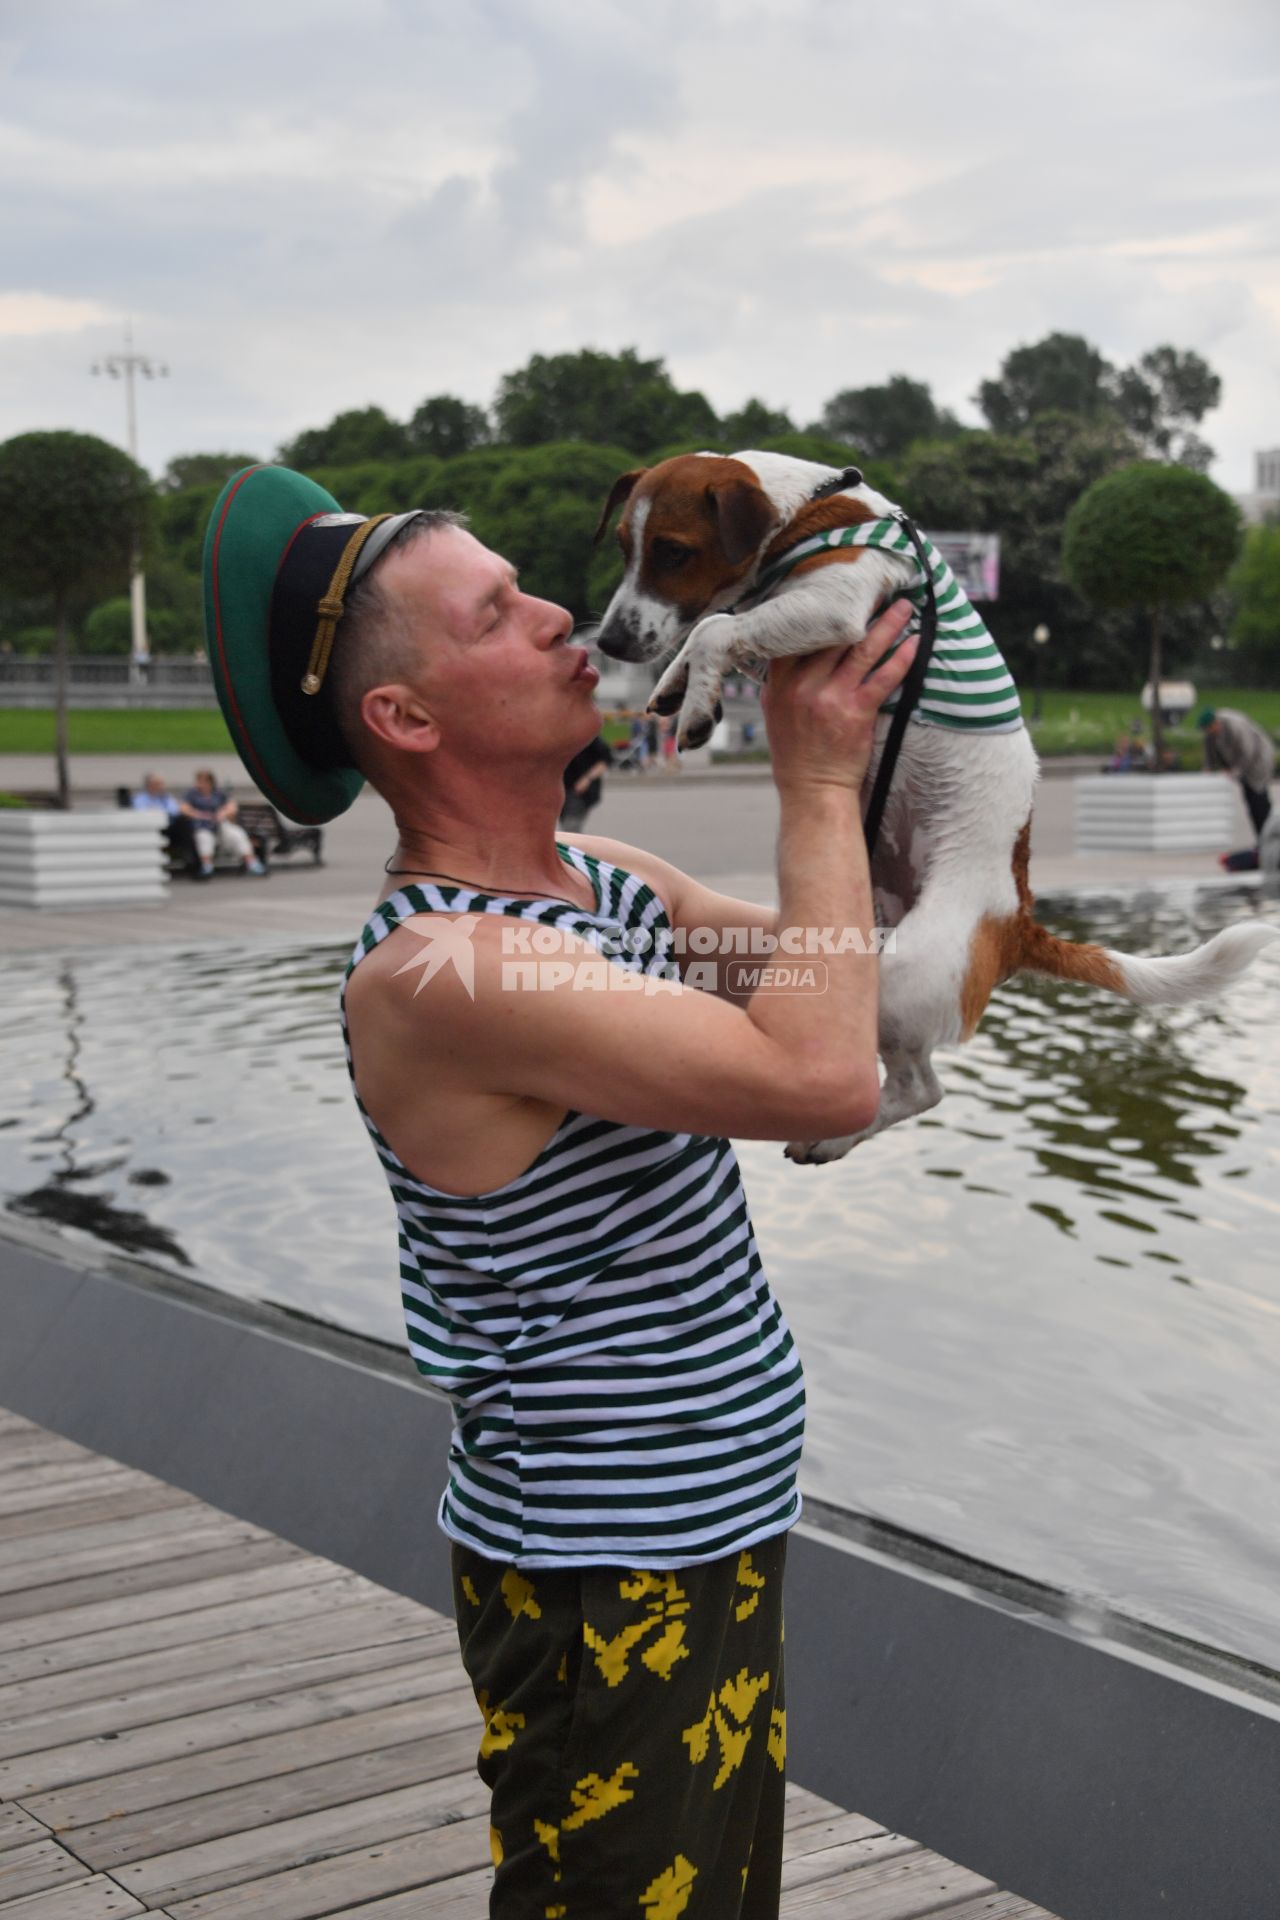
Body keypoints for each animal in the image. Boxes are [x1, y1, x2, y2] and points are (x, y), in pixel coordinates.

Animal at [594, 449, 1274, 1159]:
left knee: (922, 1089)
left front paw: (697, 703)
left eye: (674, 552)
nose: (608, 642)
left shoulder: (835, 604)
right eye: (623, 548)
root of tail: (1016, 922)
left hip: (901, 980)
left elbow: (717, 626)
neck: (807, 510)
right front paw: (677, 686)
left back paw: (835, 1138)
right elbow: (709, 624)